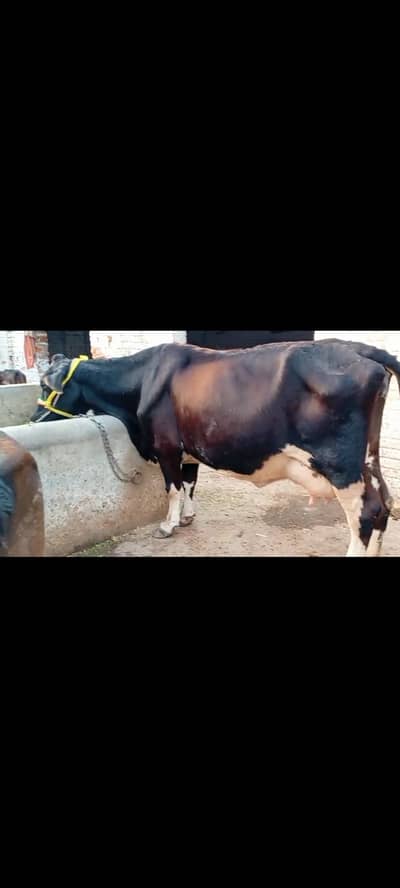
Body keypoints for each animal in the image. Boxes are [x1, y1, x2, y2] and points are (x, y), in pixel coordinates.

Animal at [30, 340, 400, 556]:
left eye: (47, 387)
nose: (33, 419)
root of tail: (360, 349)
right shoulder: (190, 448)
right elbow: (190, 483)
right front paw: (188, 517)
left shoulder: (166, 446)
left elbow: (172, 487)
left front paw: (168, 526)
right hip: (368, 459)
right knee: (384, 503)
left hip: (341, 465)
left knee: (365, 511)